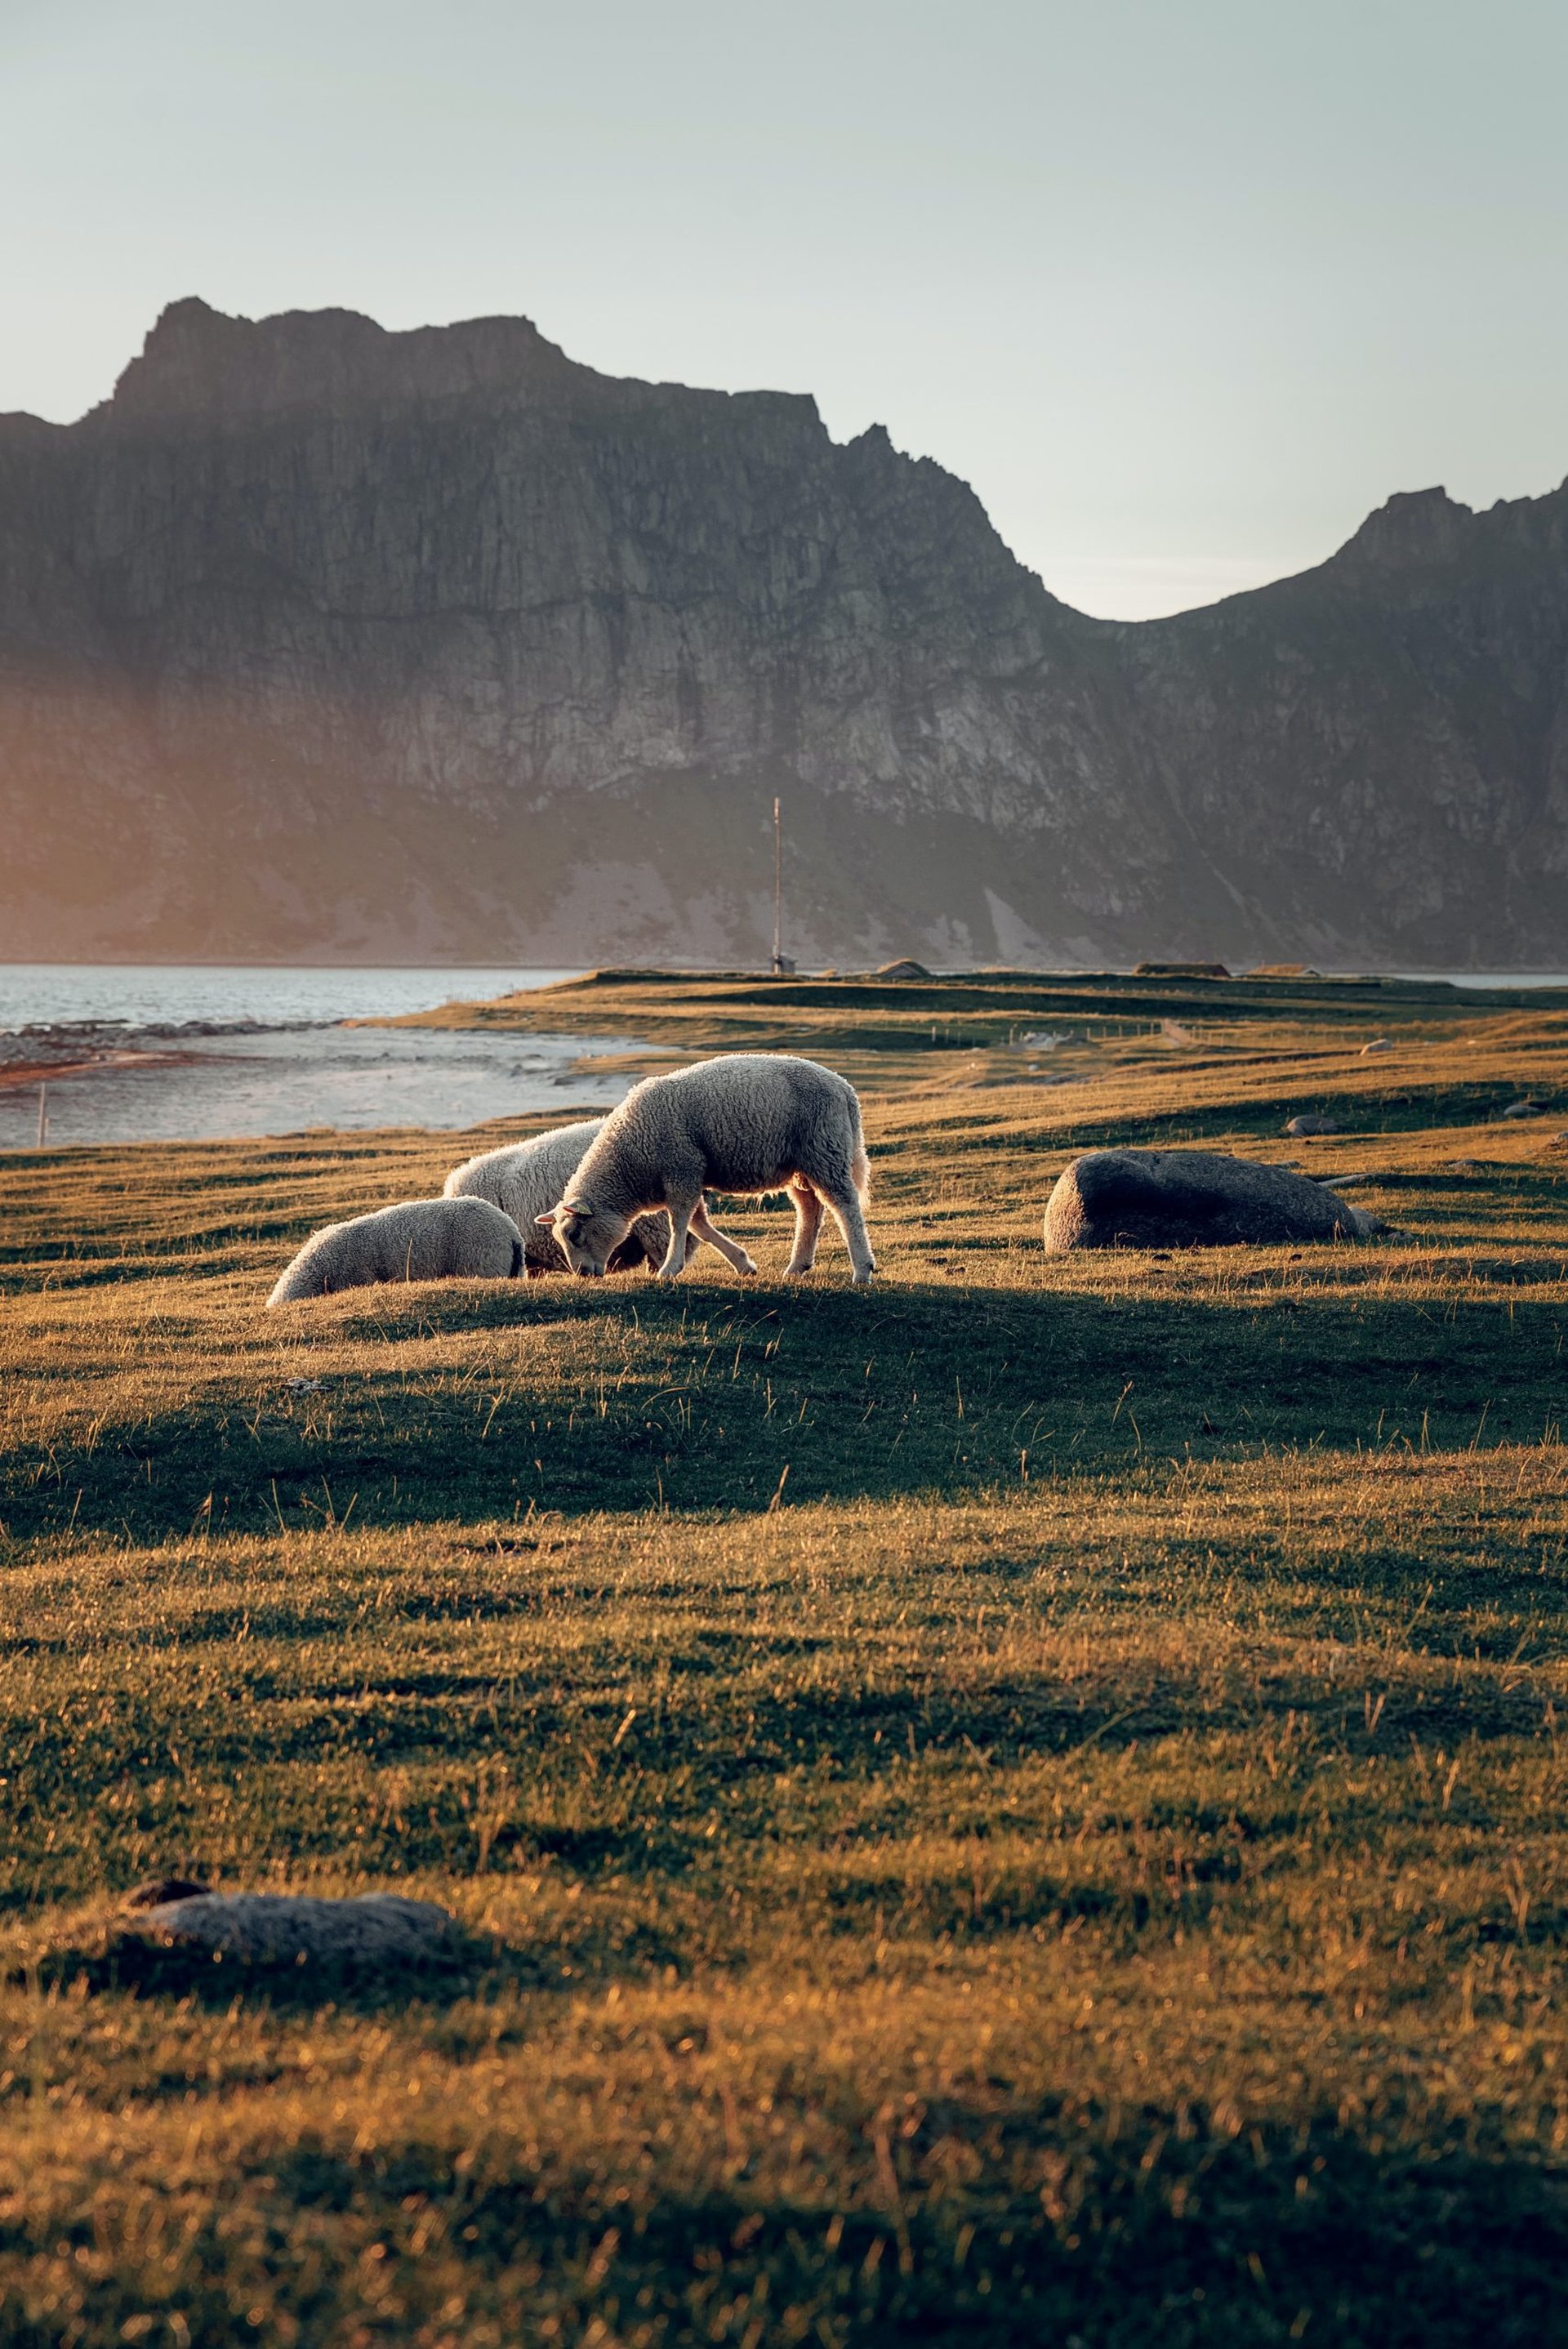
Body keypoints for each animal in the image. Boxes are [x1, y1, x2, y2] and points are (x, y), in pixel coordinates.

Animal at [536, 1053, 874, 1284]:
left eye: (575, 1234)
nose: (582, 1274)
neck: (629, 1163)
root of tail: (845, 1089)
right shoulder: (687, 1177)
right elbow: (700, 1225)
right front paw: (743, 1264)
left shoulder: (682, 1169)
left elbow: (680, 1223)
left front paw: (669, 1269)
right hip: (799, 1163)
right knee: (810, 1209)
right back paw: (796, 1267)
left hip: (824, 1149)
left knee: (845, 1205)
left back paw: (862, 1269)